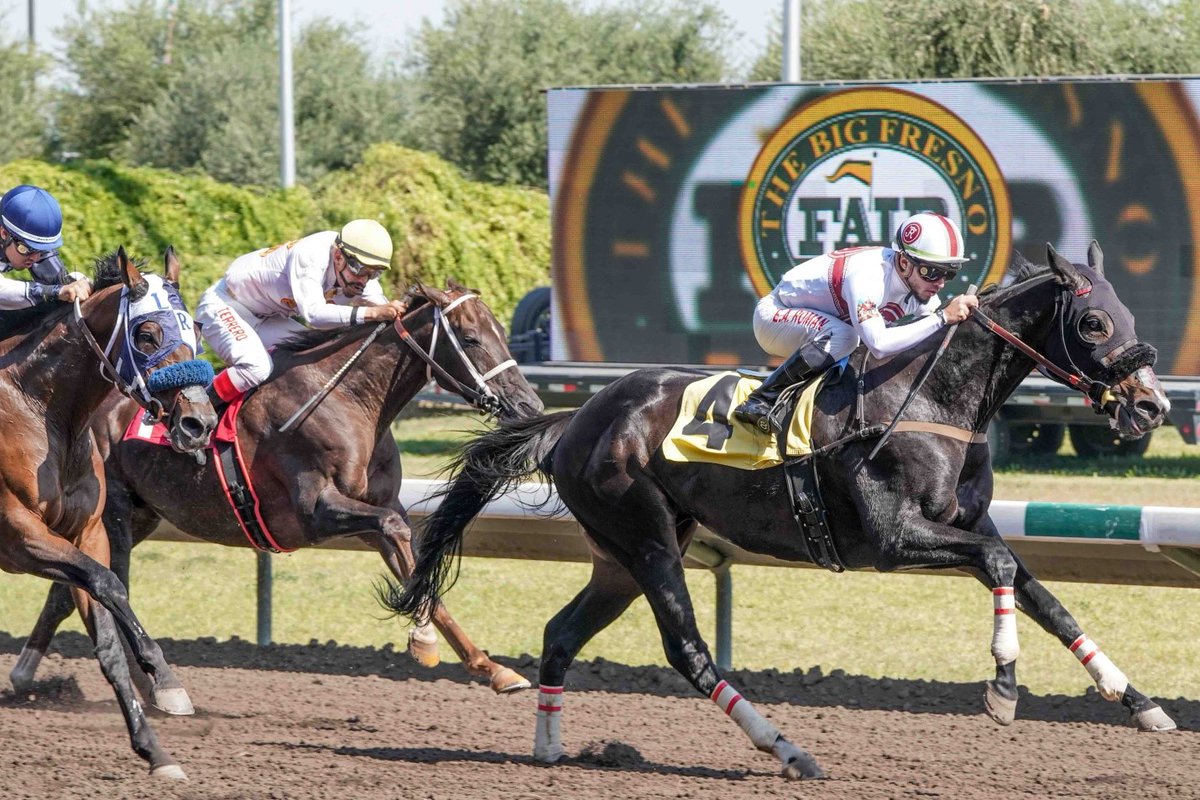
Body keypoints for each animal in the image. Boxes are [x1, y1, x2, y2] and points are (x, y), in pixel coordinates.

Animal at [0, 248, 215, 780]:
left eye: (195, 329)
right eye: (147, 334)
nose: (199, 424)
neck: (42, 412)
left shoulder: (87, 535)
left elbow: (108, 640)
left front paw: (157, 751)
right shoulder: (18, 537)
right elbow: (110, 583)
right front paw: (164, 678)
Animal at [13, 279, 544, 708]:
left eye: (501, 332)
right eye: (471, 338)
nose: (529, 405)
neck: (349, 399)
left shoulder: (375, 510)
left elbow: (413, 560)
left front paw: (494, 669)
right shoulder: (313, 511)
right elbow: (399, 538)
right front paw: (423, 638)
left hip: (139, 514)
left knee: (69, 589)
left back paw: (24, 672)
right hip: (117, 515)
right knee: (103, 583)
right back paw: (153, 687)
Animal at [385, 243, 1175, 780]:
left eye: (1128, 313)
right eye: (1094, 322)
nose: (1150, 407)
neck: (931, 395)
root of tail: (574, 420)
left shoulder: (966, 523)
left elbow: (1042, 594)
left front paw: (1138, 701)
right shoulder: (894, 538)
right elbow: (1005, 566)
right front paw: (1004, 686)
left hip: (619, 554)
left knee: (560, 633)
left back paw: (549, 746)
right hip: (646, 541)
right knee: (688, 651)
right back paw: (788, 747)